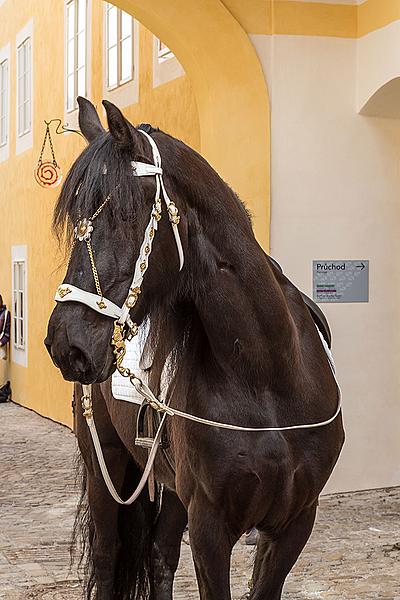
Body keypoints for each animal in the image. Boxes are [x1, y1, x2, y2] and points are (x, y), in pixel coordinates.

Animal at [44, 96, 344, 596]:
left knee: (162, 555)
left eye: (124, 212)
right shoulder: (210, 528)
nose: (67, 343)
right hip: (104, 464)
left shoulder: (294, 523)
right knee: (107, 558)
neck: (266, 378)